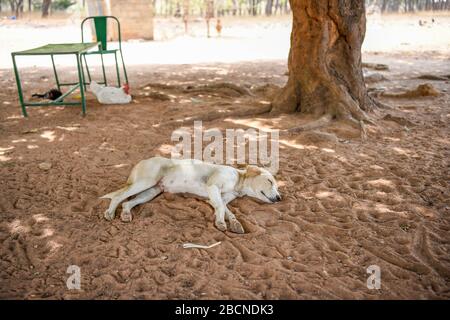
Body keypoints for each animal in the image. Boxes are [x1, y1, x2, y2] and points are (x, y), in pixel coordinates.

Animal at [101, 157, 282, 234]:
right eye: (269, 181)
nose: (280, 198)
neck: (238, 180)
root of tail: (142, 161)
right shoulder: (213, 187)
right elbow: (220, 208)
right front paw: (221, 223)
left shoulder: (219, 198)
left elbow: (226, 210)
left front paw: (235, 224)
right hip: (145, 181)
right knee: (119, 196)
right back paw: (110, 212)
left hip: (151, 191)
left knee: (127, 202)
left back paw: (125, 214)